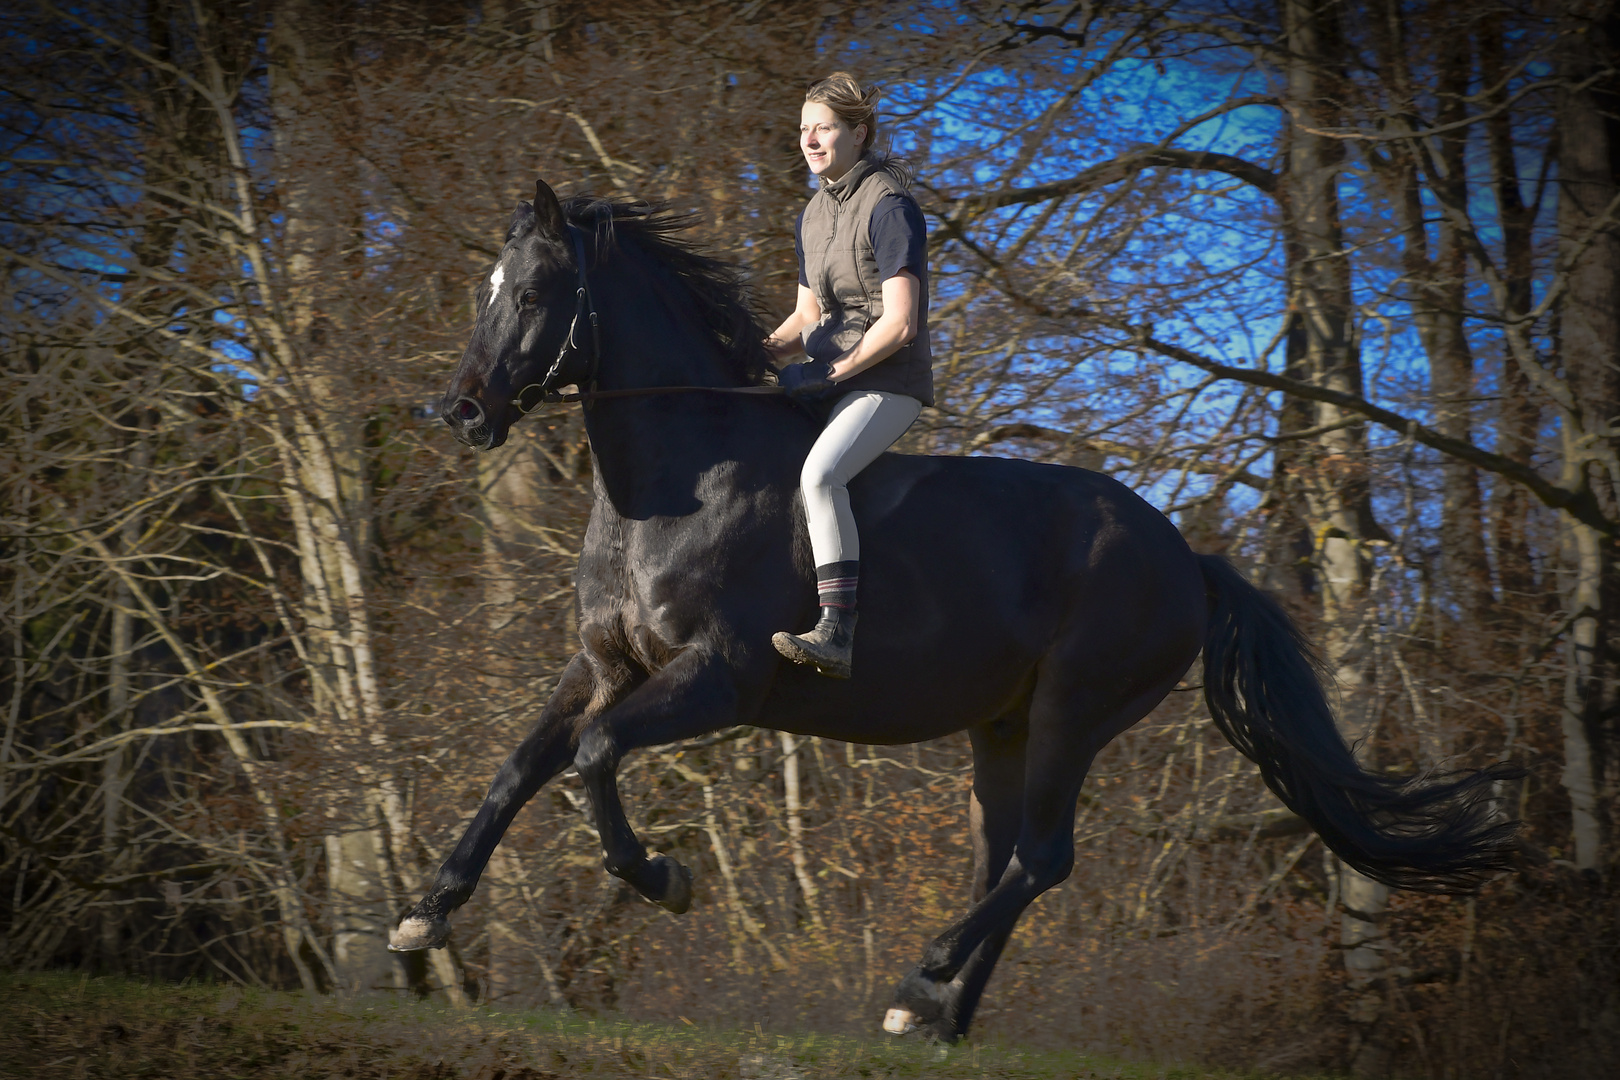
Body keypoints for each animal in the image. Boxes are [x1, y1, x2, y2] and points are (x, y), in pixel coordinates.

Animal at [392, 181, 1516, 1042]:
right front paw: (423, 919)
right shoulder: (603, 667)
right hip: (1003, 726)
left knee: (1043, 858)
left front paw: (661, 879)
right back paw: (936, 1015)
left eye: (532, 291)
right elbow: (520, 766)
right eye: (487, 289)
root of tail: (1188, 559)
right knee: (1006, 856)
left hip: (1076, 708)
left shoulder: (717, 679)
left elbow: (592, 760)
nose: (463, 412)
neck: (677, 482)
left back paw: (921, 976)